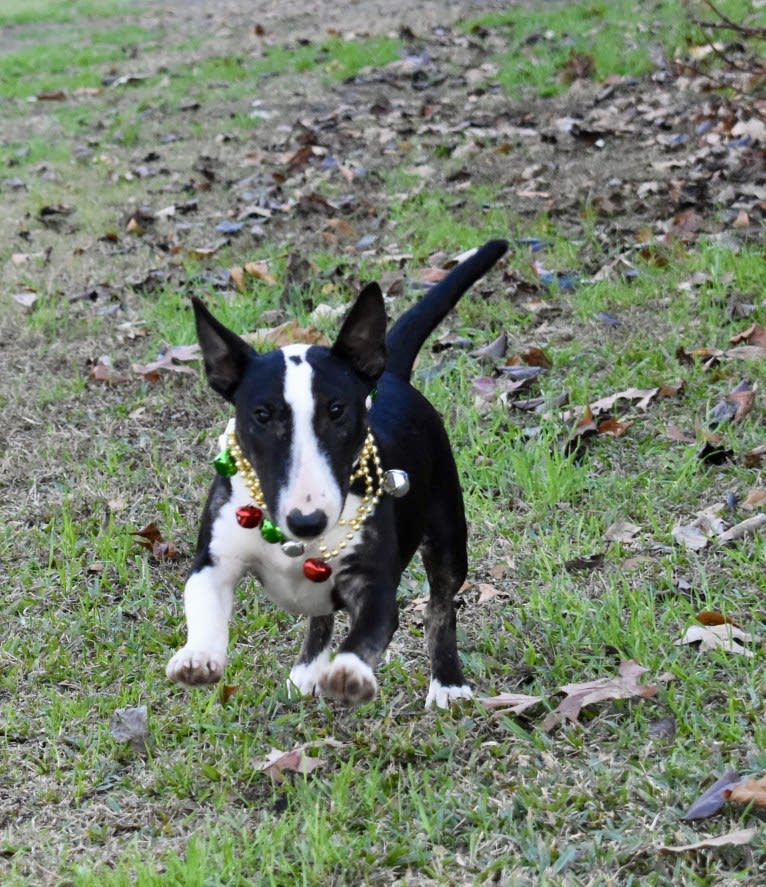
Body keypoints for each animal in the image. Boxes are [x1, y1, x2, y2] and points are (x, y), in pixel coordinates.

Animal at [168, 241, 510, 708]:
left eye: (337, 410)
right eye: (261, 415)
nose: (307, 522)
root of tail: (390, 375)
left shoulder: (376, 583)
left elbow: (369, 632)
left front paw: (349, 672)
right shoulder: (215, 558)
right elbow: (202, 601)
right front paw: (198, 657)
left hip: (447, 529)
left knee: (441, 606)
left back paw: (447, 683)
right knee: (320, 615)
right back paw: (307, 670)